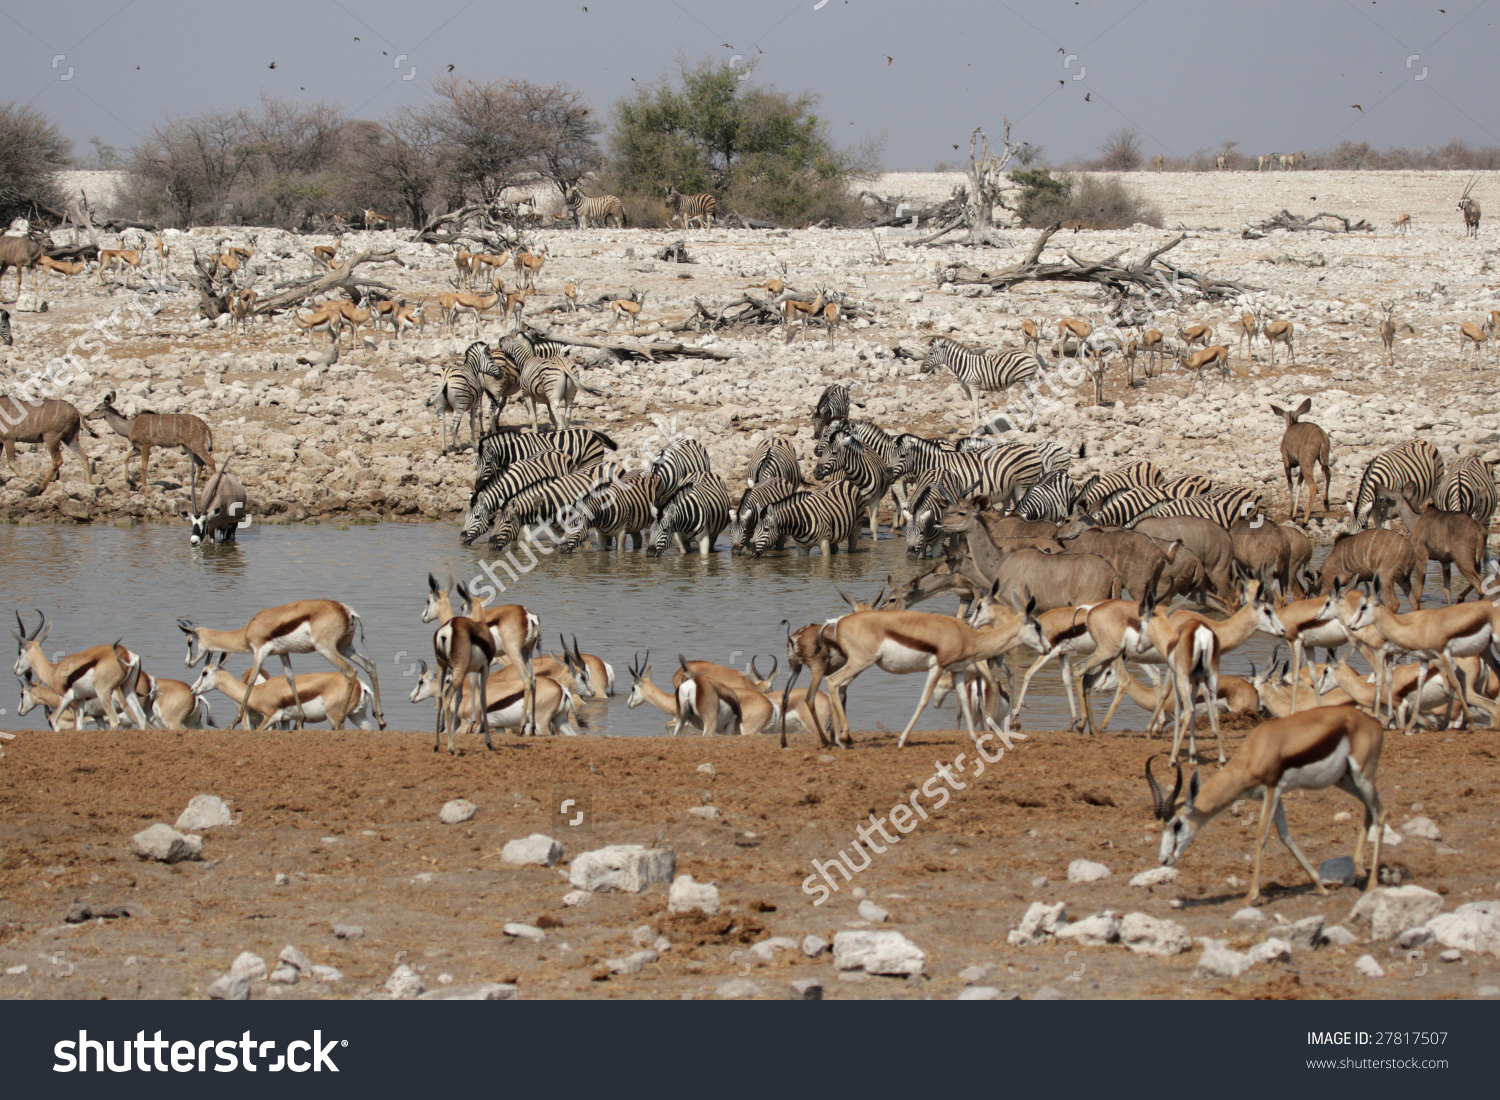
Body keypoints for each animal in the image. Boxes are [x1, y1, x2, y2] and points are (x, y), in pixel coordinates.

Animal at [10, 612, 149, 732]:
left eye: (19, 652)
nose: (14, 669)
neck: (53, 670)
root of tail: (128, 656)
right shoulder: (83, 703)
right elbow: (79, 728)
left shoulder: (68, 700)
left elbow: (55, 720)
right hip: (128, 691)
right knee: (142, 719)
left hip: (106, 695)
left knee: (115, 722)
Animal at [178, 606, 384, 732]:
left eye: (204, 673)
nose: (192, 689)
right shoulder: (283, 653)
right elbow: (290, 678)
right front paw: (300, 720)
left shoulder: (260, 653)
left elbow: (251, 681)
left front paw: (233, 723)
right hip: (346, 651)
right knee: (370, 665)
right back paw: (381, 718)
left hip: (327, 651)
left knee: (350, 672)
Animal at [1152, 702, 1386, 900]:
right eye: (1161, 826)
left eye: (1177, 824)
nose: (1164, 860)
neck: (1256, 750)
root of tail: (1373, 722)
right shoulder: (1275, 796)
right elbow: (1285, 837)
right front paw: (1320, 886)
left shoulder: (1273, 790)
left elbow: (1262, 835)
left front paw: (1251, 896)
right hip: (1345, 780)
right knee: (1371, 809)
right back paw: (1359, 869)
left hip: (1362, 776)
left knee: (1381, 814)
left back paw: (1372, 884)